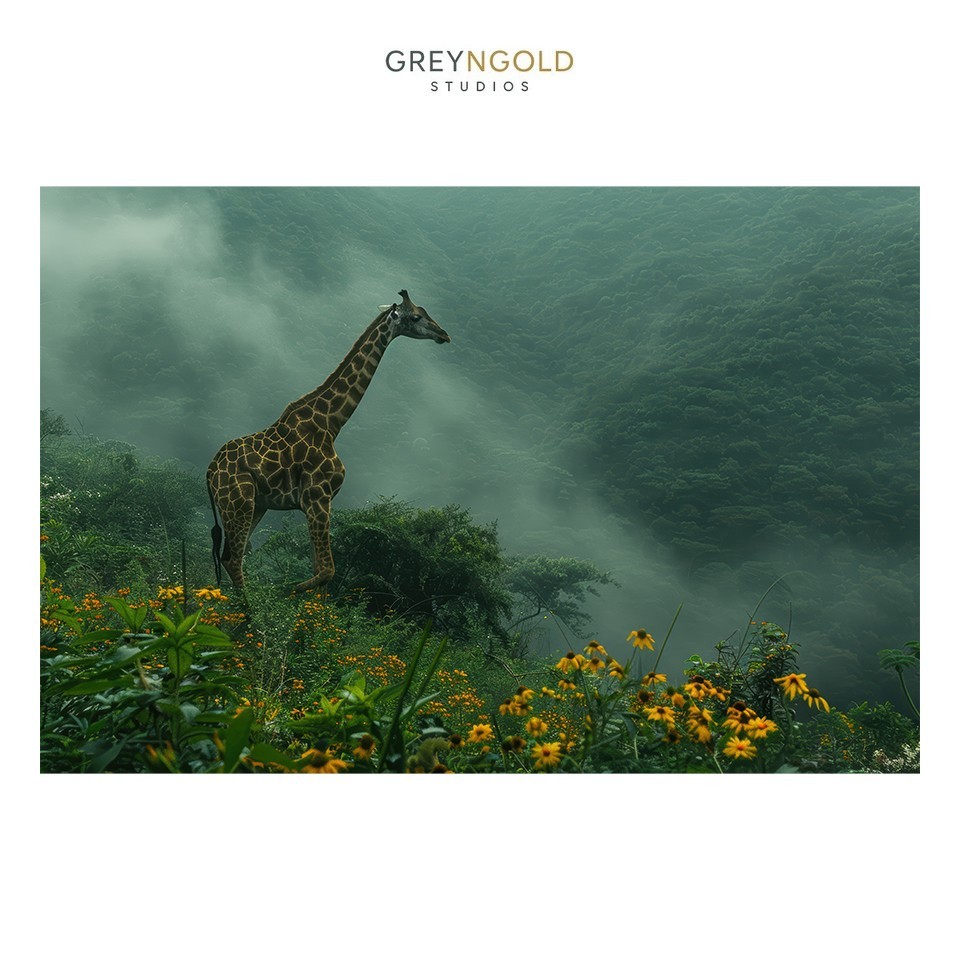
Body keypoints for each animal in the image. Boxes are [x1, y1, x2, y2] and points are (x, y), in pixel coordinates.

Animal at [206, 290, 450, 593]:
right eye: (415, 316)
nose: (444, 334)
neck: (332, 422)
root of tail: (209, 474)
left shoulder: (316, 502)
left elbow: (319, 572)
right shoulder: (317, 497)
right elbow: (325, 571)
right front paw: (285, 592)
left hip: (254, 505)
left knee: (230, 557)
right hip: (239, 502)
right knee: (233, 559)